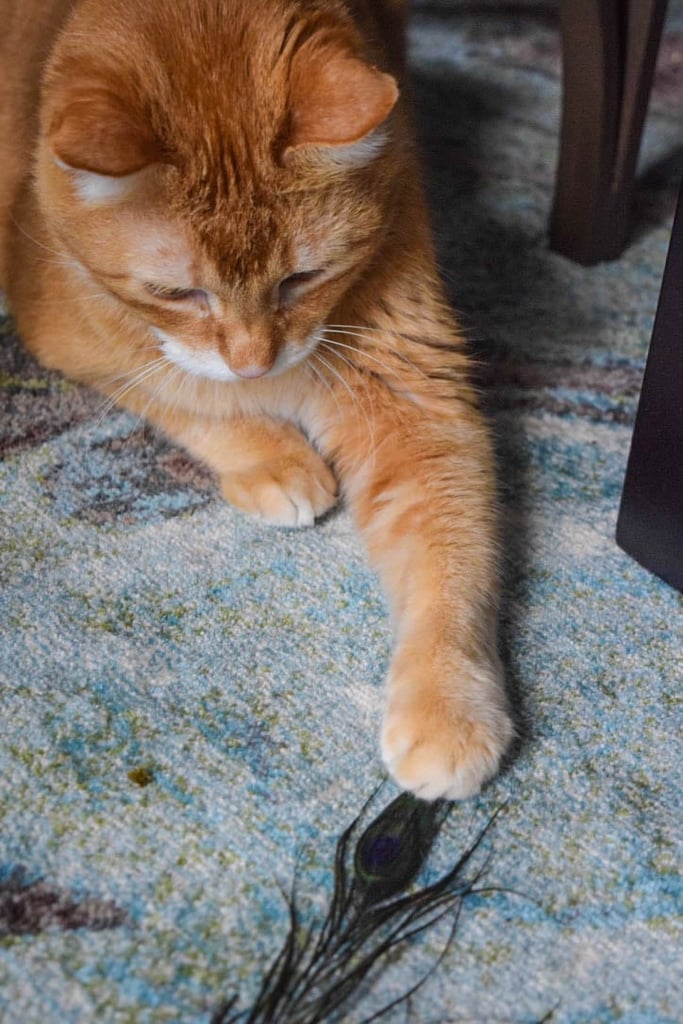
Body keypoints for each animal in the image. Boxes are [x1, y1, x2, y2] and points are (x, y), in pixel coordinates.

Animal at [1, 0, 511, 798]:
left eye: (304, 278)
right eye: (177, 292)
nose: (253, 364)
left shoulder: (412, 395)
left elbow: (452, 559)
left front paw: (448, 705)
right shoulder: (64, 328)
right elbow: (185, 391)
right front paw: (272, 456)